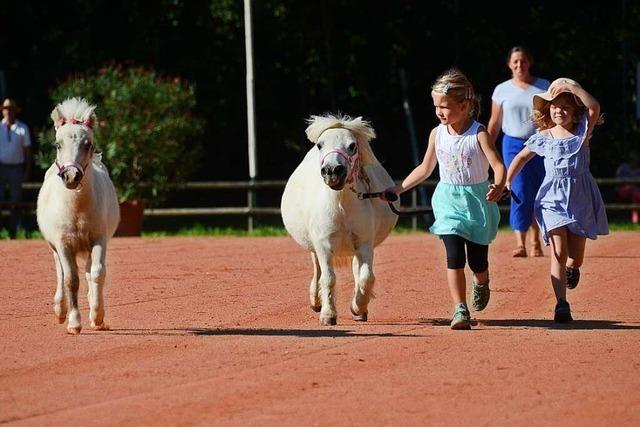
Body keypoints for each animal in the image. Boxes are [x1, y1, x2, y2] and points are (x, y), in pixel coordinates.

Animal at [37, 98, 121, 336]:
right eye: (58, 144)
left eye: (88, 144)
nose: (71, 176)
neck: (76, 209)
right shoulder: (63, 243)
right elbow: (70, 280)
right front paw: (74, 323)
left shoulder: (98, 239)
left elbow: (97, 273)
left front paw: (97, 315)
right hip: (55, 247)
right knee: (60, 272)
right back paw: (60, 310)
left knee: (89, 272)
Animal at [282, 113, 398, 324]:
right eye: (320, 145)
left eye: (352, 146)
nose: (332, 171)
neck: (341, 204)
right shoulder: (323, 244)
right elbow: (328, 278)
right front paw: (328, 314)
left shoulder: (364, 243)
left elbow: (366, 277)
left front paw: (358, 307)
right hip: (315, 248)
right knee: (317, 270)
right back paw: (316, 300)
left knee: (357, 270)